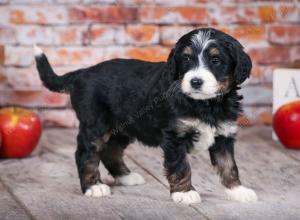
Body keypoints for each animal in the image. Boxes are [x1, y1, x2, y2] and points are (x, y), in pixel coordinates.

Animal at [34, 27, 256, 205]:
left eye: (216, 60)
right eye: (186, 59)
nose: (195, 81)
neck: (206, 105)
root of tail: (82, 72)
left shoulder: (224, 134)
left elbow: (229, 165)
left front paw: (238, 190)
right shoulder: (174, 136)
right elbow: (180, 165)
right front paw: (185, 193)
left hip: (121, 128)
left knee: (110, 151)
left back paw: (126, 177)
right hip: (95, 124)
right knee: (86, 154)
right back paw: (93, 186)